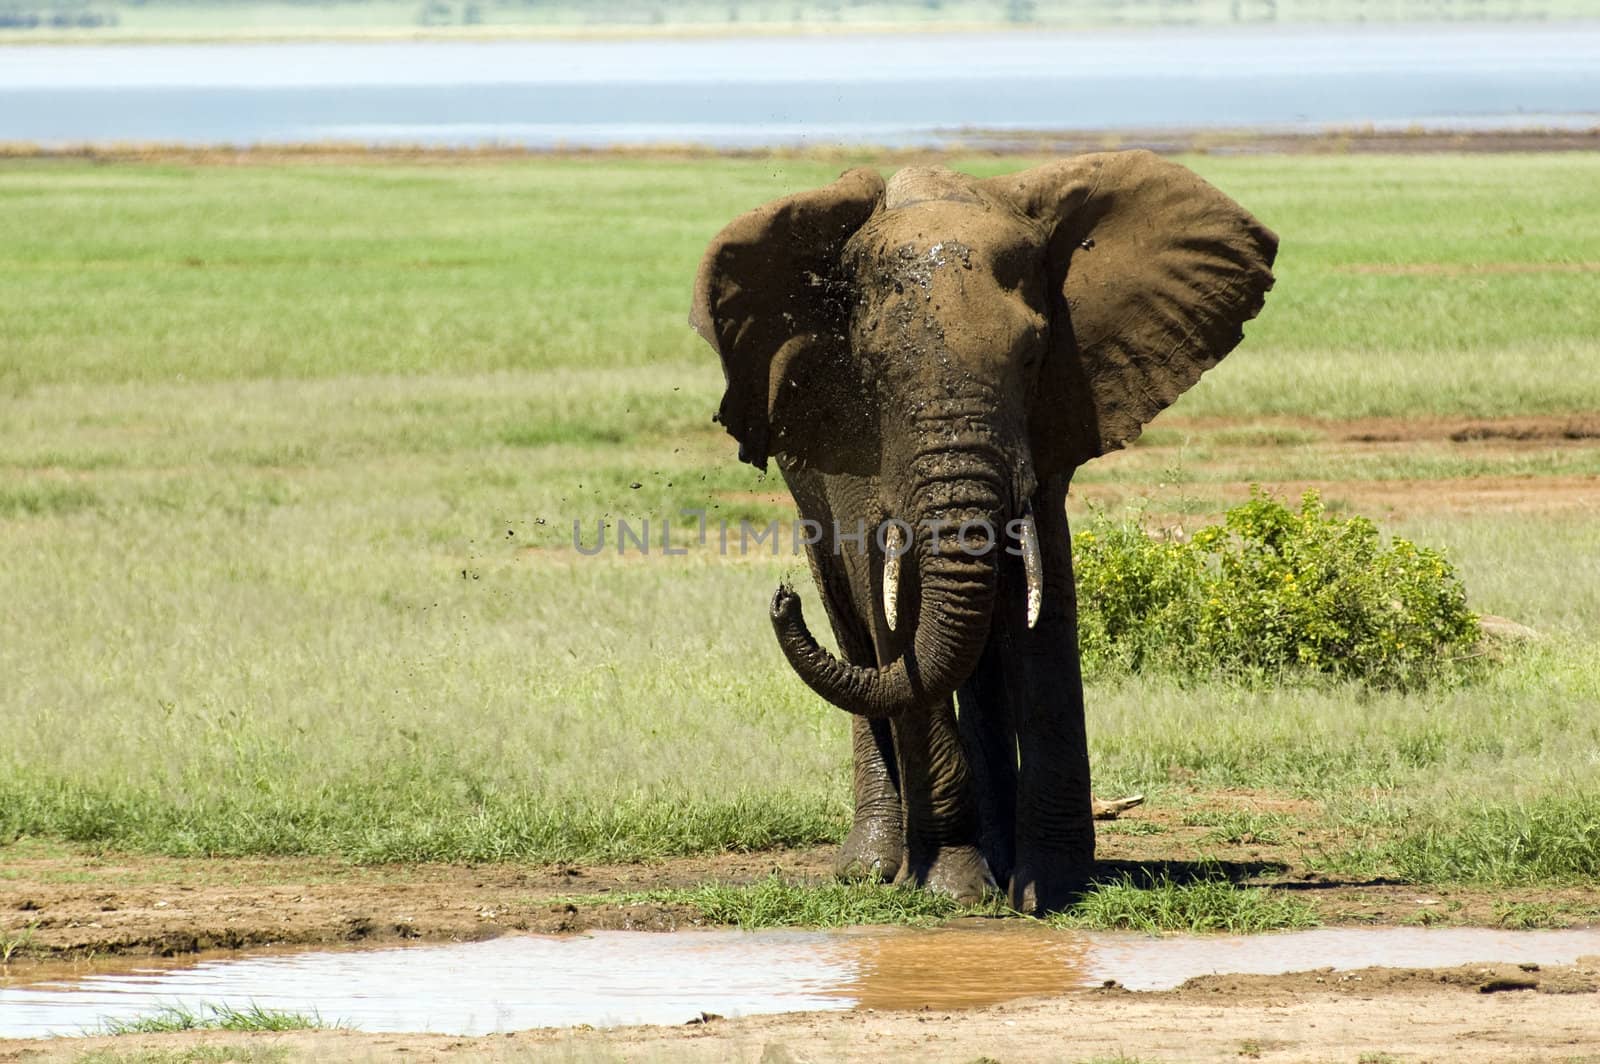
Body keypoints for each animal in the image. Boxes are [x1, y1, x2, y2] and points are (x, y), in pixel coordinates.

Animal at [688, 151, 1273, 915]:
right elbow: (894, 617)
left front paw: (1053, 889)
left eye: (1032, 357)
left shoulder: (1054, 417)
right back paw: (875, 867)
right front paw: (954, 892)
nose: (780, 599)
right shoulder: (851, 439)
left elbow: (1044, 604)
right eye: (871, 369)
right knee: (857, 630)